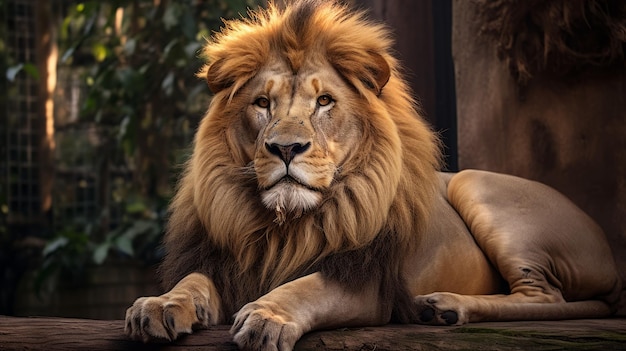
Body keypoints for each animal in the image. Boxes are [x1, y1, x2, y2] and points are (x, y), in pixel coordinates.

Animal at [122, 1, 620, 350]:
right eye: (262, 103)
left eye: (324, 102)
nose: (285, 148)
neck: (282, 226)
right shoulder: (224, 262)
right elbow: (191, 283)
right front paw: (159, 306)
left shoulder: (364, 278)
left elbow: (305, 287)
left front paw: (268, 316)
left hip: (473, 183)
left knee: (548, 299)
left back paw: (444, 306)